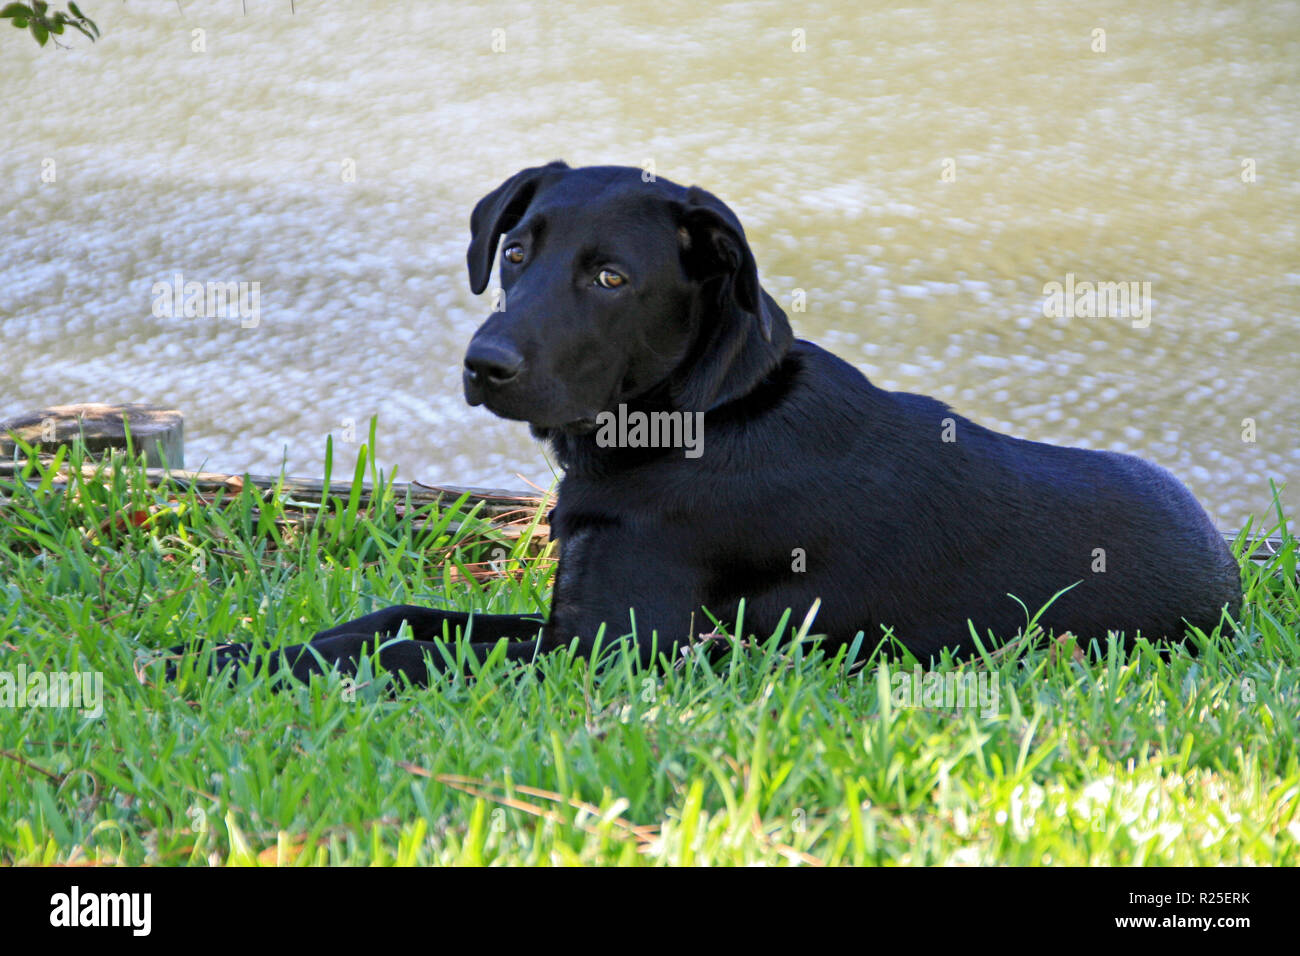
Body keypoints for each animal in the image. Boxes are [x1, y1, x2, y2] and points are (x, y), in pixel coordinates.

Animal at [170, 166, 1237, 686]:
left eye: (611, 277)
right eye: (515, 251)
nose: (485, 365)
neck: (694, 418)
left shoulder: (609, 646)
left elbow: (408, 649)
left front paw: (245, 665)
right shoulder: (568, 619)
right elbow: (398, 618)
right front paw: (219, 651)